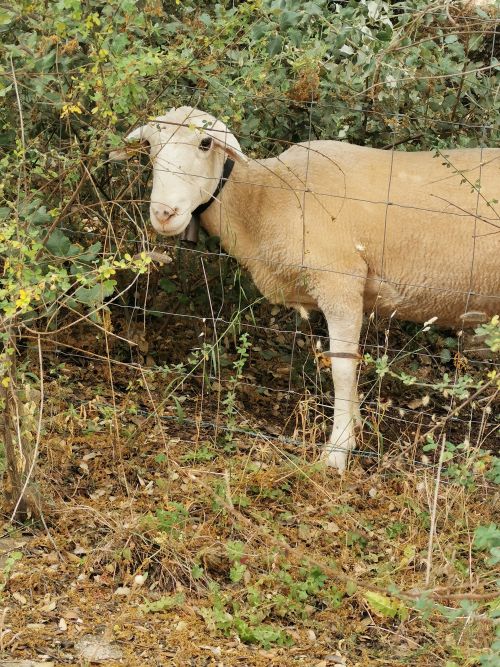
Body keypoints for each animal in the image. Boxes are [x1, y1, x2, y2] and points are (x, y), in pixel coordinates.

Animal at [111, 106, 500, 471]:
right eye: (150, 146)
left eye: (205, 142)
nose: (164, 213)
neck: (266, 197)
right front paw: (354, 429)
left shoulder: (340, 281)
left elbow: (342, 369)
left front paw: (337, 451)